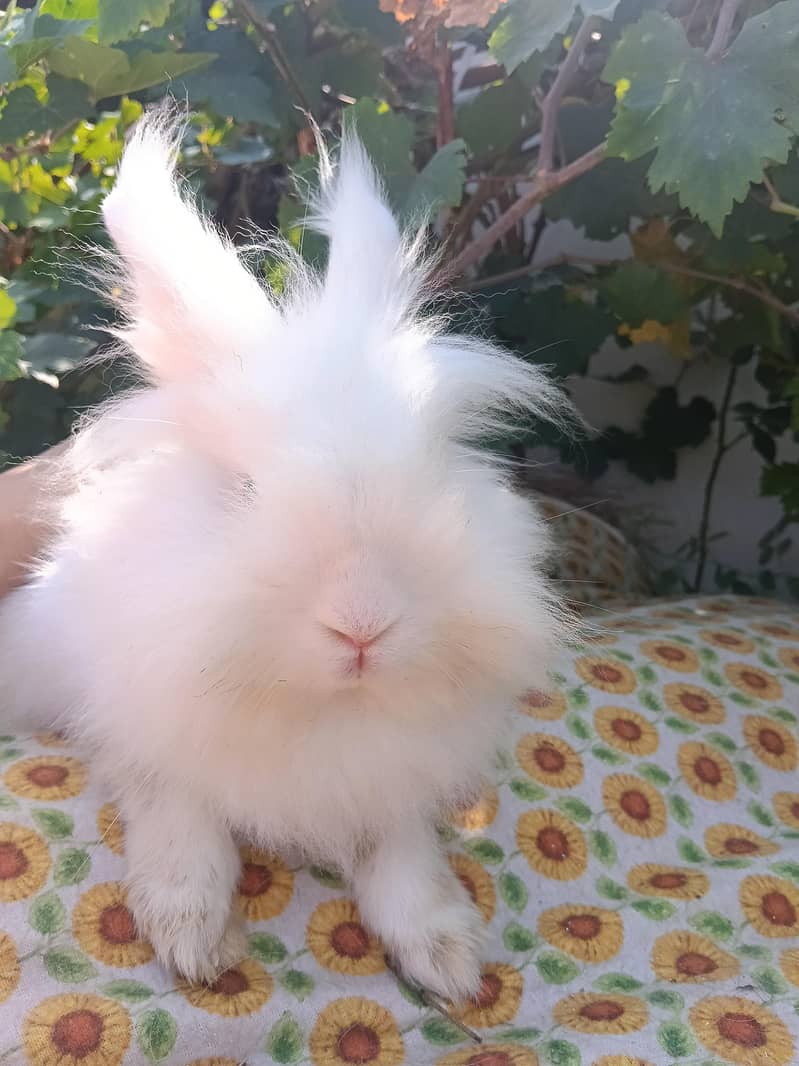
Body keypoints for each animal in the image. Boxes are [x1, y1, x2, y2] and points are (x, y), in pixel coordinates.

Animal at [0, 109, 569, 1002]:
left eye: (437, 472)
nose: (363, 624)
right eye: (242, 489)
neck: (316, 713)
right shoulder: (145, 738)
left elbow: (404, 861)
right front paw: (192, 937)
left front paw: (446, 958)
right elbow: (180, 826)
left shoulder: (395, 784)